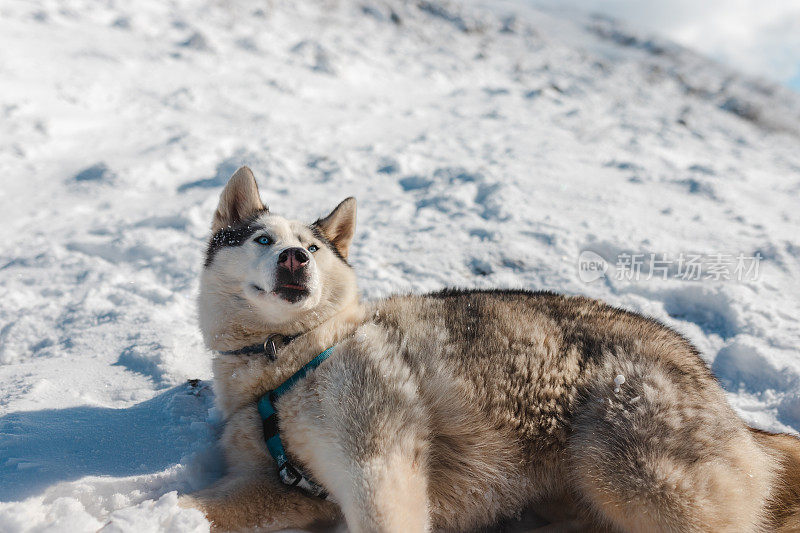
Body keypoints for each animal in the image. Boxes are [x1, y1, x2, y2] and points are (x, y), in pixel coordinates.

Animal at [181, 167, 800, 532]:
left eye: (311, 247)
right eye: (262, 239)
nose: (294, 259)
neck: (288, 361)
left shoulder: (375, 460)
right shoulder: (285, 486)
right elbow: (202, 502)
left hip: (635, 472)